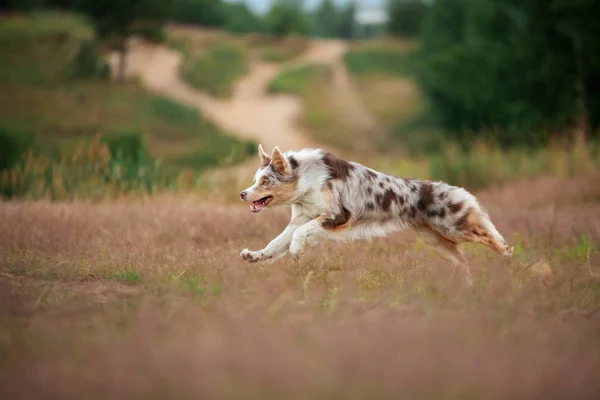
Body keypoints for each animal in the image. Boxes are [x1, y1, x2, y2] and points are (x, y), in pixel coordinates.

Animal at [238, 145, 510, 286]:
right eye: (254, 180)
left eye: (264, 182)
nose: (242, 194)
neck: (306, 180)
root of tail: (454, 188)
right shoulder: (301, 217)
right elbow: (276, 243)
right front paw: (255, 256)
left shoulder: (337, 216)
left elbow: (300, 235)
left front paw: (296, 250)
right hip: (435, 241)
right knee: (463, 262)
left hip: (453, 227)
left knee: (490, 235)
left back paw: (507, 258)